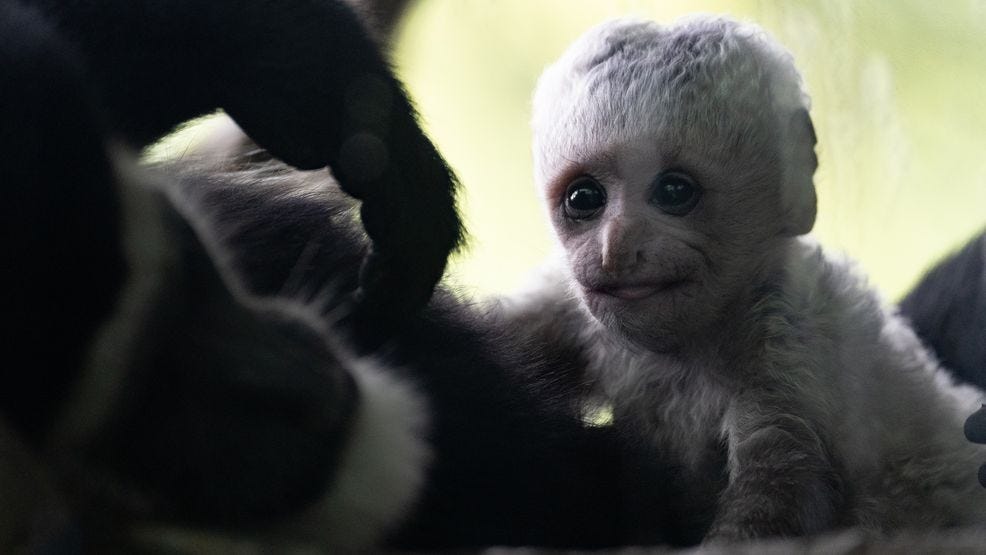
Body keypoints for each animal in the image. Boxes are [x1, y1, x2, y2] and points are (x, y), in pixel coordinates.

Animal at [499, 14, 986, 542]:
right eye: (584, 198)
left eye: (674, 190)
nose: (617, 246)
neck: (682, 354)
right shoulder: (571, 304)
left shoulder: (787, 344)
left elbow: (777, 485)